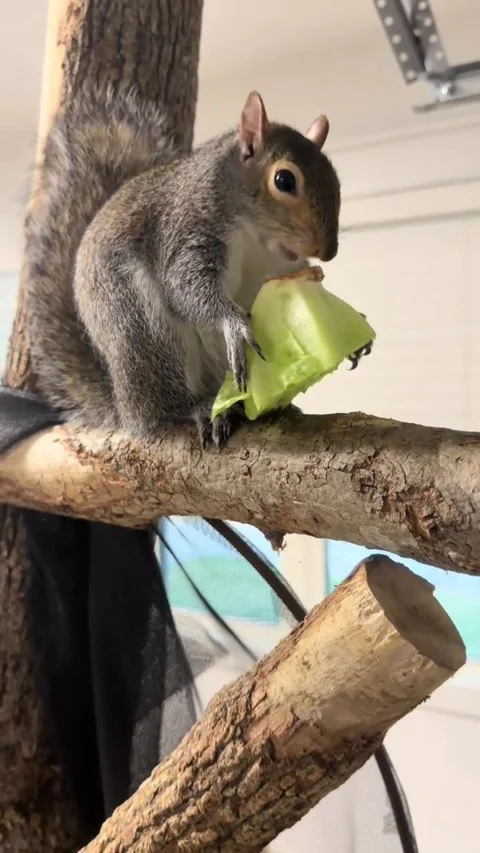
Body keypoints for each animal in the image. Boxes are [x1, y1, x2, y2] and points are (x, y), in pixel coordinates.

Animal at [25, 86, 344, 448]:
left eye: (336, 181)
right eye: (284, 180)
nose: (329, 251)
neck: (257, 237)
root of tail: (125, 408)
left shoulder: (276, 264)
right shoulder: (186, 231)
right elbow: (186, 287)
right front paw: (233, 323)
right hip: (140, 327)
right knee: (167, 403)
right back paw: (198, 407)